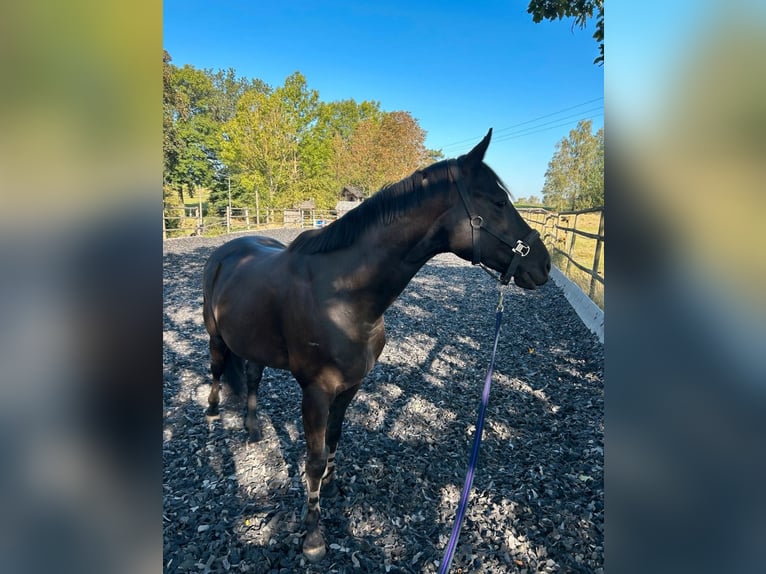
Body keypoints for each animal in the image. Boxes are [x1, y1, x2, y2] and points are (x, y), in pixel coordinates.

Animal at [201, 129, 551, 561]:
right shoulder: (316, 392)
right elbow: (313, 459)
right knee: (218, 368)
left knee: (251, 375)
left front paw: (332, 486)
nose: (544, 264)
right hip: (215, 335)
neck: (342, 294)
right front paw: (313, 535)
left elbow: (334, 439)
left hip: (254, 342)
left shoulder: (351, 385)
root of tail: (225, 251)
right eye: (499, 201)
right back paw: (213, 412)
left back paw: (252, 430)